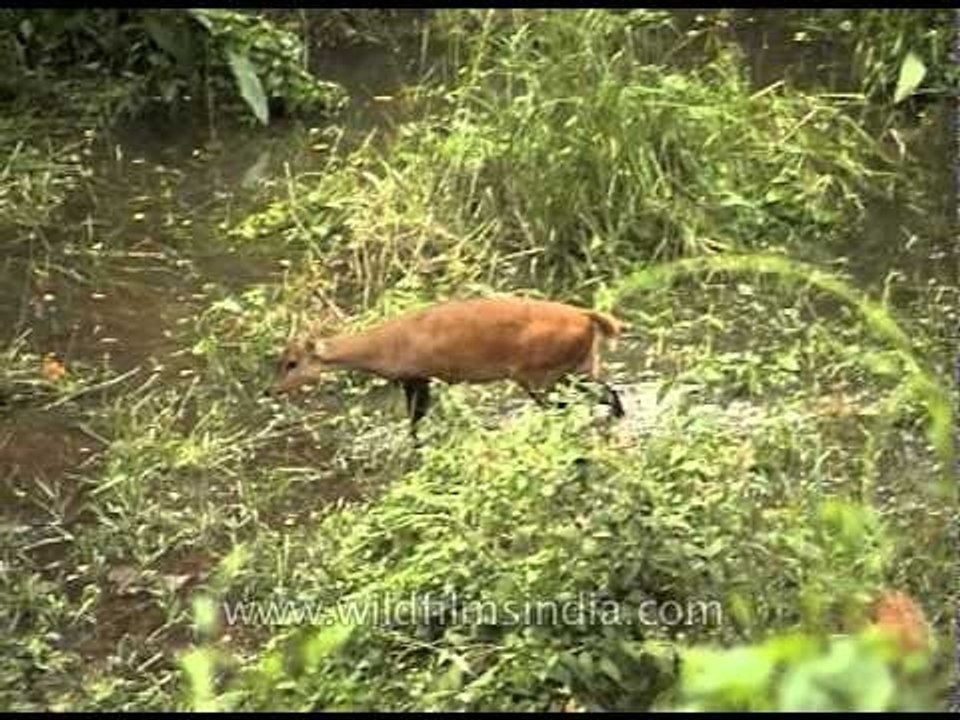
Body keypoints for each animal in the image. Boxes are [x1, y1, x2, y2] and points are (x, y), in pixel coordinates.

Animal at [267, 295, 627, 440]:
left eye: (291, 363)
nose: (271, 389)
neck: (384, 347)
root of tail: (587, 317)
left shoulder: (416, 375)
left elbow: (415, 418)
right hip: (579, 365)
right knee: (608, 391)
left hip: (540, 373)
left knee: (566, 404)